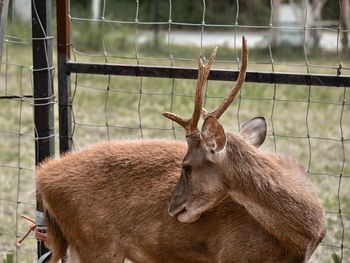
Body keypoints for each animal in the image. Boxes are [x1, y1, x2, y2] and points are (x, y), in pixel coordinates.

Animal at [35, 37, 326, 263]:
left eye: (186, 166)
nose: (172, 207)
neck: (302, 237)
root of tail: (43, 177)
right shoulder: (233, 253)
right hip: (98, 242)